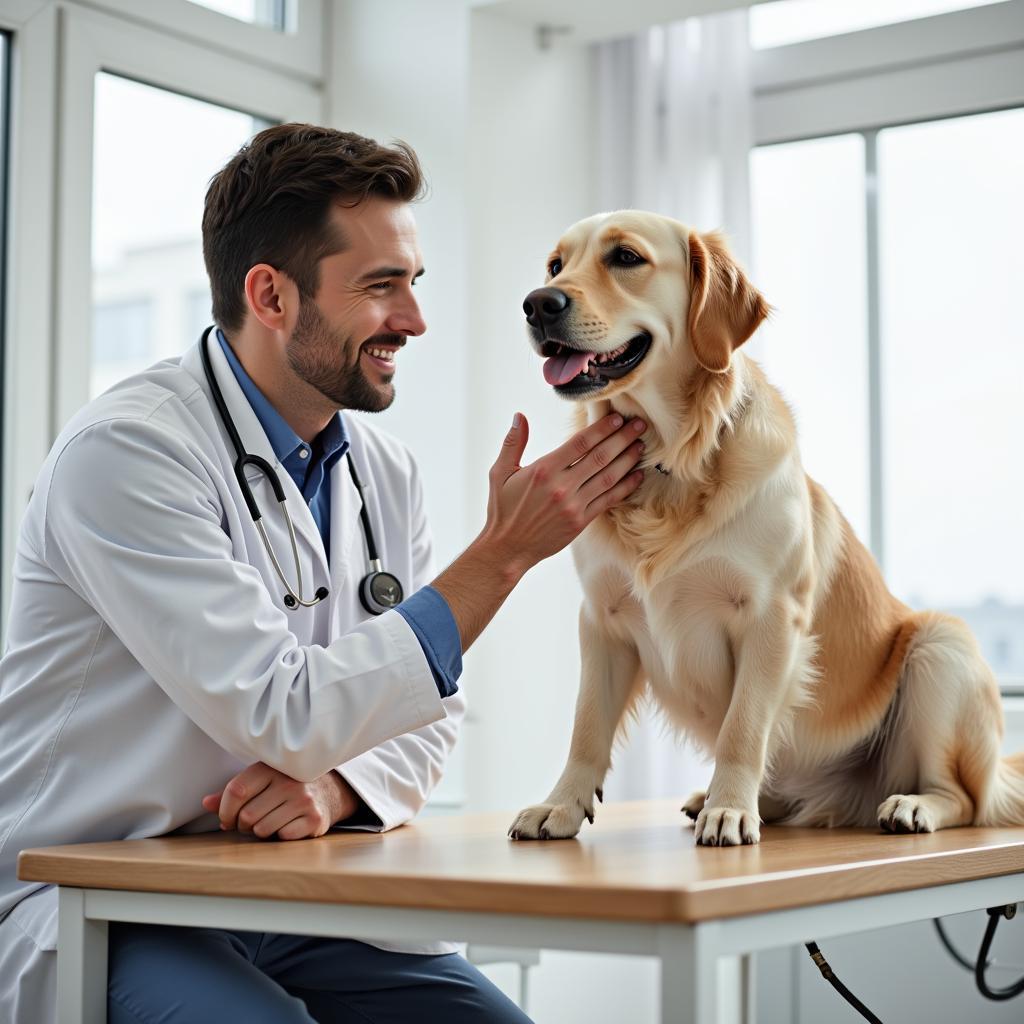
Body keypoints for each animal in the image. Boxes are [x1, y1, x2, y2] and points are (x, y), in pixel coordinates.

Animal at [509, 211, 1024, 843]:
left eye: (626, 257)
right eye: (556, 266)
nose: (537, 304)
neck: (669, 464)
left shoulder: (771, 616)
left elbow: (744, 726)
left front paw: (730, 810)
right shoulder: (601, 617)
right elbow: (586, 727)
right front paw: (560, 805)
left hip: (940, 647)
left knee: (965, 797)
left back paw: (911, 806)